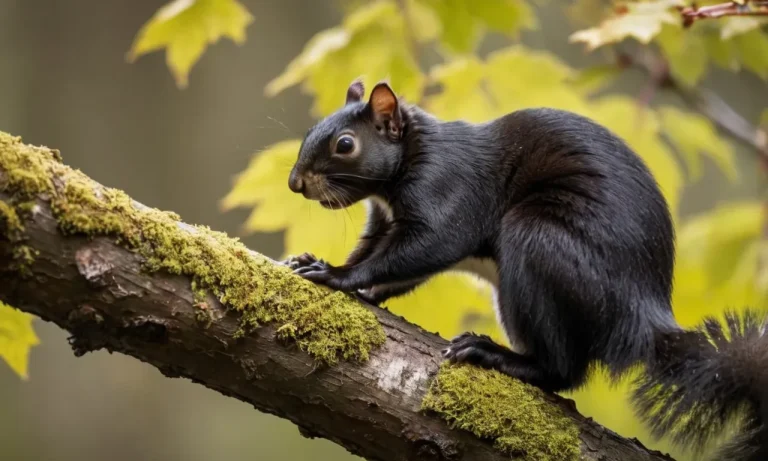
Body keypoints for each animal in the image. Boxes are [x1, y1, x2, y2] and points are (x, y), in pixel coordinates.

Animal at [282, 81, 768, 458]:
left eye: (346, 144)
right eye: (310, 130)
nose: (295, 183)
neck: (415, 154)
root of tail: (641, 315)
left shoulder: (447, 197)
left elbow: (420, 251)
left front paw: (338, 277)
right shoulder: (383, 222)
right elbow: (383, 260)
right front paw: (318, 264)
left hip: (537, 243)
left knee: (563, 372)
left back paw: (493, 354)